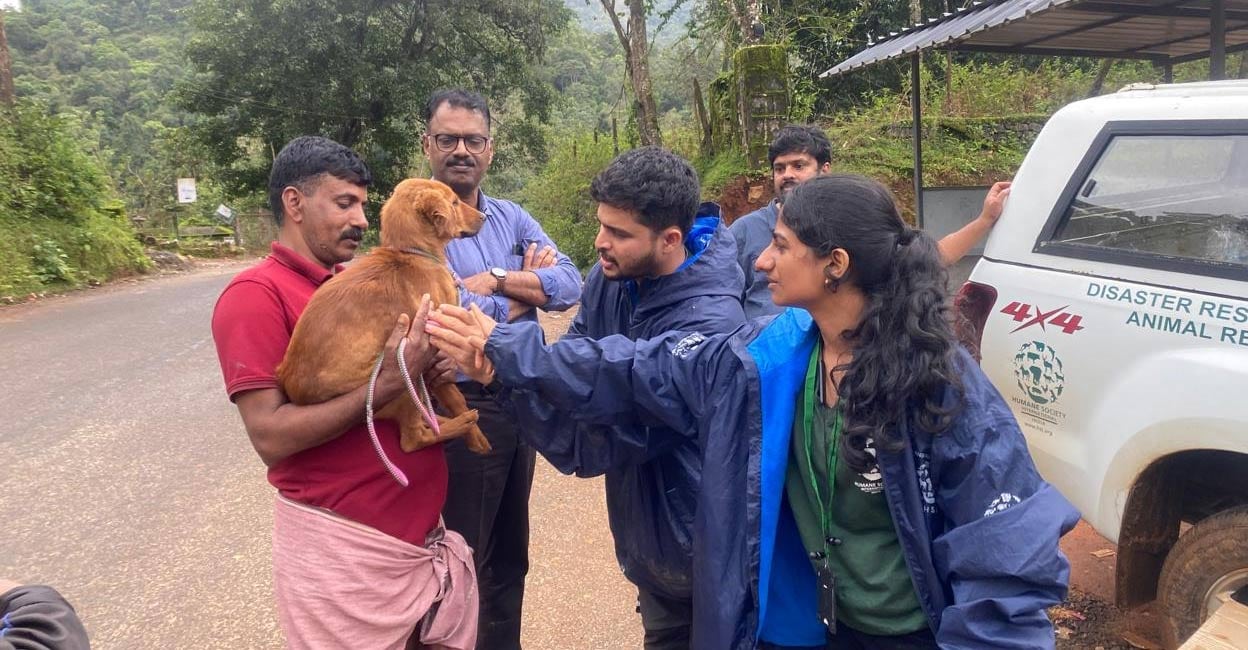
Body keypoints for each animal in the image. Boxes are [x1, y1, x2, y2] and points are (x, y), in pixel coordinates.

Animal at [278, 175, 491, 451]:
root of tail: (291, 385)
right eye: (454, 202)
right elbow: (455, 397)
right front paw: (477, 439)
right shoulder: (433, 342)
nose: (484, 217)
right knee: (412, 438)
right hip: (400, 378)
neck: (411, 252)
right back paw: (460, 424)